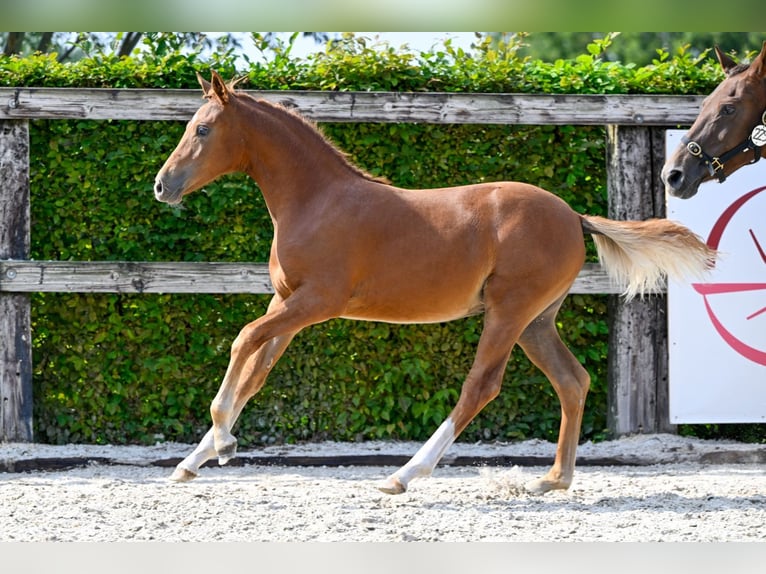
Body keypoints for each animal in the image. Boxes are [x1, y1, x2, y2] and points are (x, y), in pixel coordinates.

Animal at [156, 71, 720, 496]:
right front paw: (194, 459)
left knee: (481, 386)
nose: (163, 185)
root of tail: (573, 216)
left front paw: (223, 442)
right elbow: (256, 371)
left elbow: (242, 340)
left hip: (509, 311)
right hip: (537, 321)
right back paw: (552, 480)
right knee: (572, 381)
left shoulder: (318, 301)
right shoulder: (288, 301)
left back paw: (405, 474)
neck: (317, 201)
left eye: (202, 129)